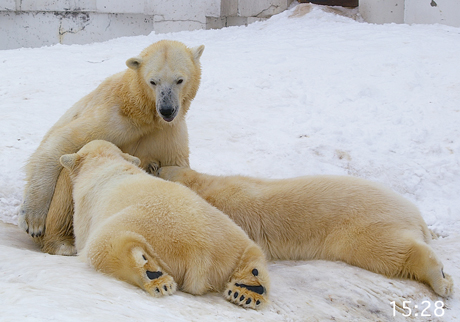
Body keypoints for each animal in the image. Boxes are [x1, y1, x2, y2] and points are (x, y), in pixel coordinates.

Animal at [19, 40, 203, 255]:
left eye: (179, 80)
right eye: (153, 81)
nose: (166, 109)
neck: (143, 113)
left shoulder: (169, 131)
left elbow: (175, 166)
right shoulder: (114, 116)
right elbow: (62, 142)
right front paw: (33, 220)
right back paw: (61, 243)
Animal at [59, 140, 272, 310]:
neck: (104, 163)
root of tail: (201, 253)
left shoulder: (86, 210)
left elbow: (83, 239)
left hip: (146, 228)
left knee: (104, 245)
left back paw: (153, 276)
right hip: (228, 234)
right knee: (251, 251)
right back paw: (248, 290)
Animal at [156, 167, 454, 298]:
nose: (156, 165)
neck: (206, 184)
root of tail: (416, 214)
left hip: (363, 223)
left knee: (387, 250)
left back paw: (441, 280)